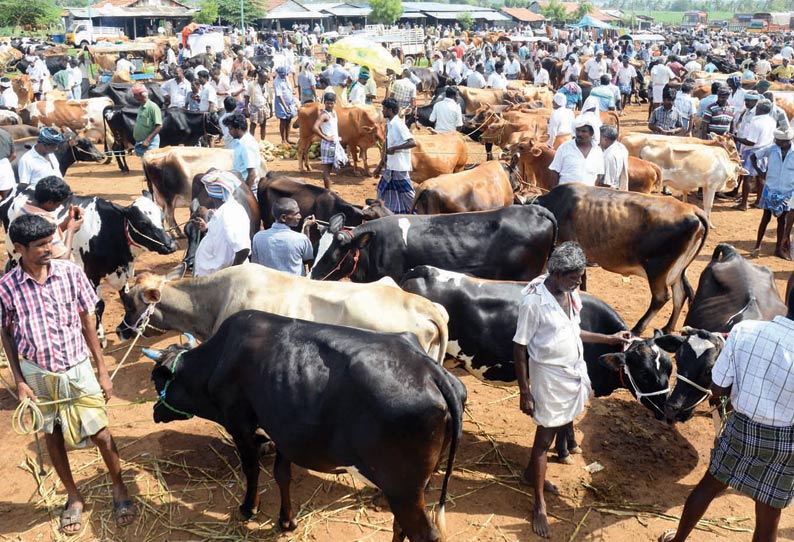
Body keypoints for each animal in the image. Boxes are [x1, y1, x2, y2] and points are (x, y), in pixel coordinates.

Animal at [3, 189, 177, 346]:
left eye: (162, 217)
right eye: (143, 223)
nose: (172, 245)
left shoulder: (123, 273)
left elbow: (125, 298)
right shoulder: (92, 274)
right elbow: (100, 305)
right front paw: (100, 336)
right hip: (15, 257)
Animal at [144, 310, 464, 542]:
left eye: (156, 378)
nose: (155, 412)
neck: (220, 358)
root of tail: (431, 370)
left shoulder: (240, 424)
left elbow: (252, 469)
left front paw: (249, 508)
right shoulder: (284, 431)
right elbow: (282, 475)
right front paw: (287, 521)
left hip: (403, 489)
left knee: (423, 534)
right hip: (411, 488)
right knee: (400, 527)